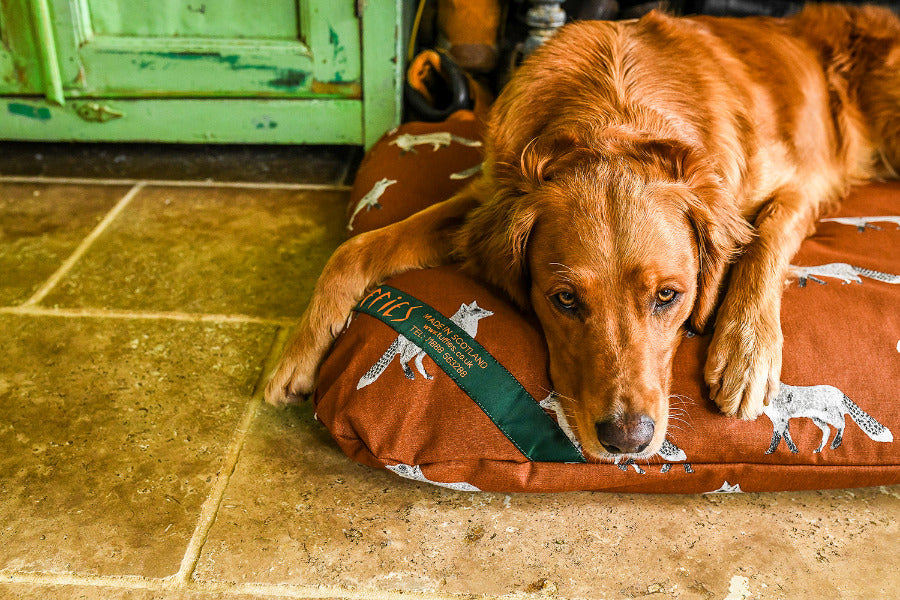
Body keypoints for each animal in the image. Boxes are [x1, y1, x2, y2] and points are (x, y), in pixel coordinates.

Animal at [356, 301, 493, 390]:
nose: (491, 311)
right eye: (477, 310)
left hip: (422, 351)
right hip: (414, 348)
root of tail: (399, 336)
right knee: (402, 359)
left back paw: (425, 375)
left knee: (416, 361)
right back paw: (409, 373)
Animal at [764, 383, 893, 454]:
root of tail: (841, 393)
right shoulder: (781, 420)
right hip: (817, 419)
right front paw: (794, 451)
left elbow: (775, 438)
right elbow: (787, 438)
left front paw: (769, 452)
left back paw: (835, 443)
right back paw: (819, 449)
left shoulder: (780, 420)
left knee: (842, 424)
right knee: (828, 430)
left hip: (829, 415)